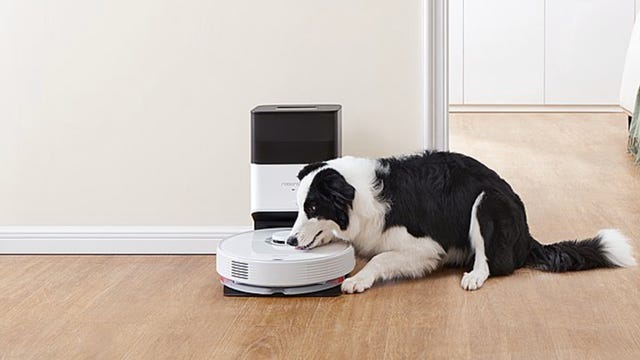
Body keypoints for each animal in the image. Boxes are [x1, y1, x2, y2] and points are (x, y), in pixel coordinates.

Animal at [286, 150, 636, 294]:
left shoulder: (426, 248)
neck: (361, 196)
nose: (289, 241)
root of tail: (528, 235)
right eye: (299, 208)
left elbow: (381, 258)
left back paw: (474, 276)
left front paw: (358, 280)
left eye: (313, 206)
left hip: (486, 201)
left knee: (491, 261)